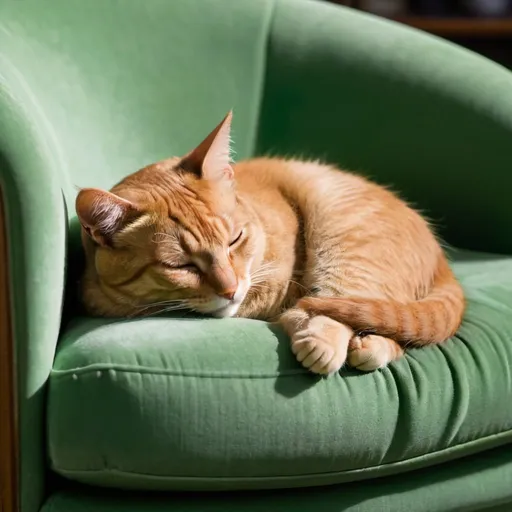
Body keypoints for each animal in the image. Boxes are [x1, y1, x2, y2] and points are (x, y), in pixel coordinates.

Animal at [78, 112, 466, 374]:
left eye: (234, 239)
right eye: (181, 265)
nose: (230, 289)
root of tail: (444, 264)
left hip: (346, 240)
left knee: (343, 303)